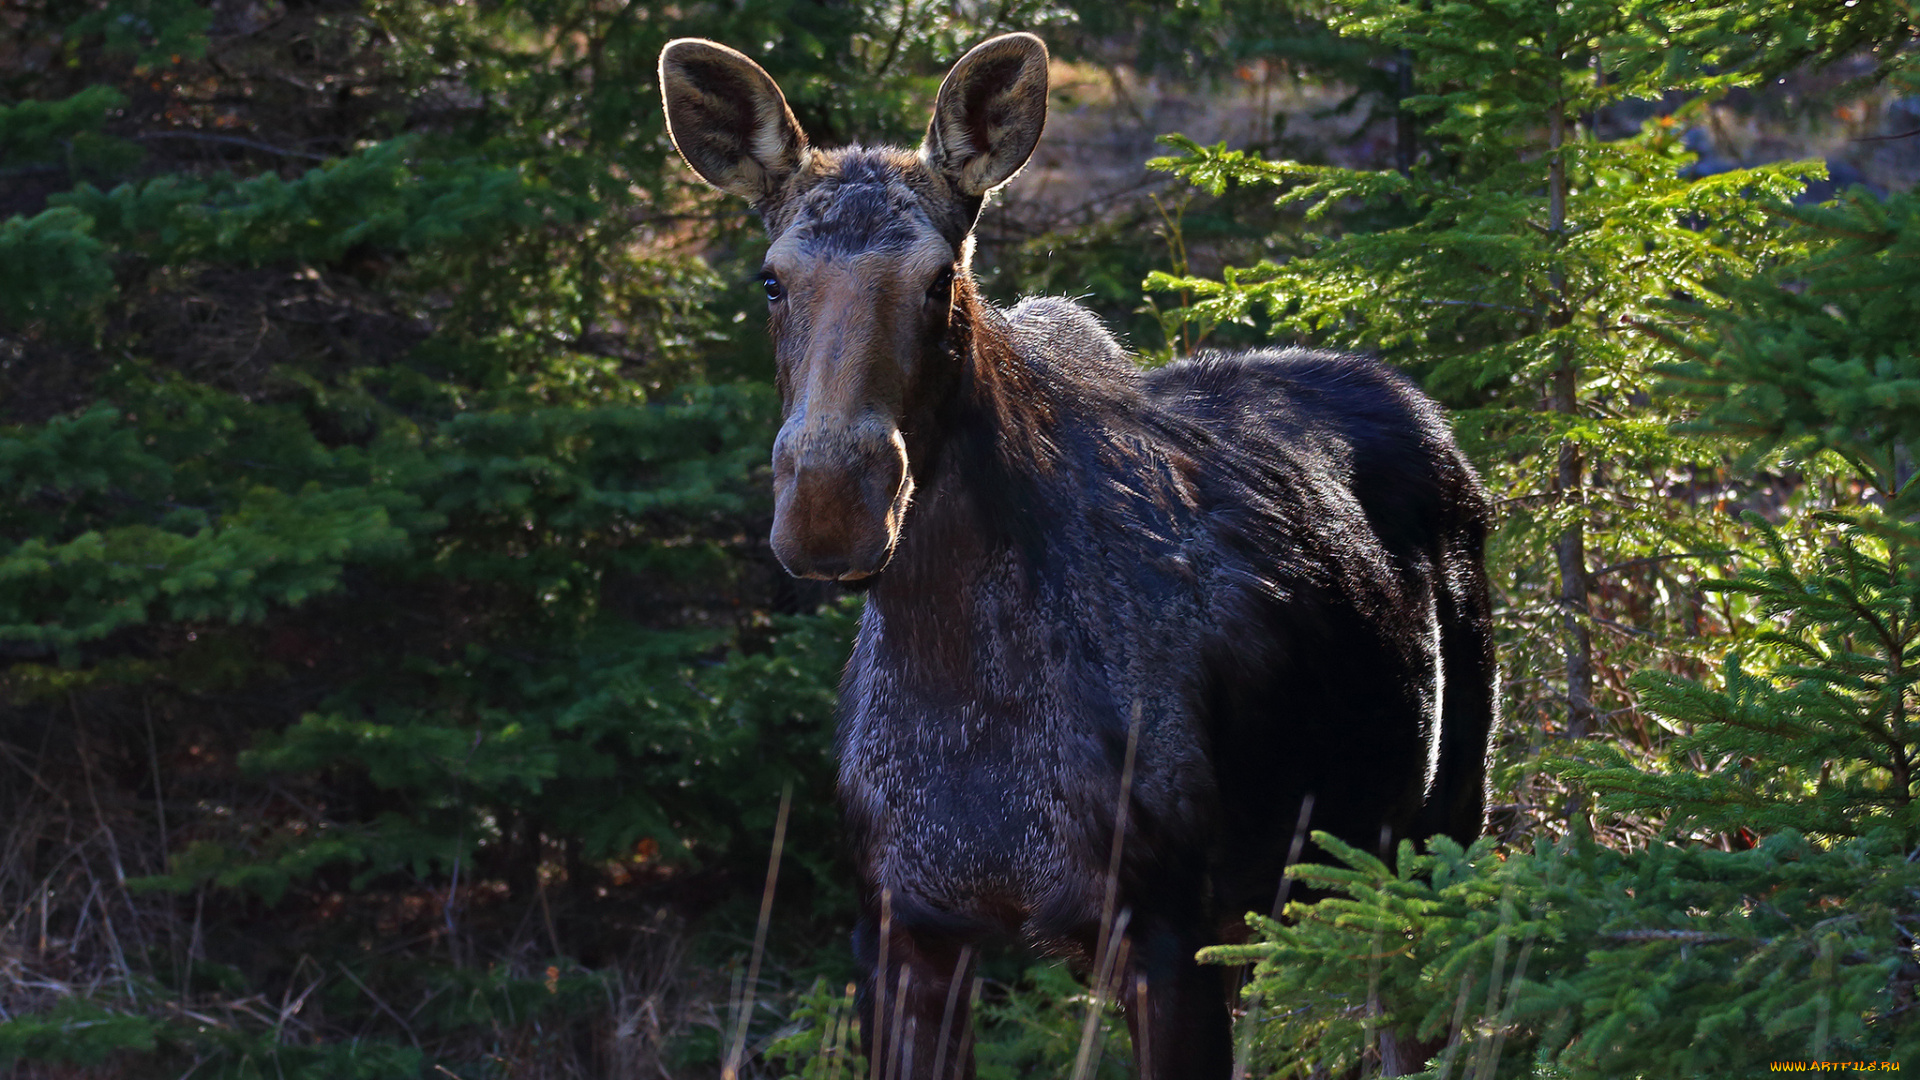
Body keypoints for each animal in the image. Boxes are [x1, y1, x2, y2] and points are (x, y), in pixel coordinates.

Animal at [664, 33, 1497, 1076]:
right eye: (772, 280)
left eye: (941, 281)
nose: (828, 506)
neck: (955, 674)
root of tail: (1428, 411)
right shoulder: (903, 930)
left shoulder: (1162, 929)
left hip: (1432, 832)